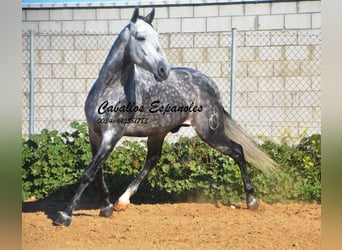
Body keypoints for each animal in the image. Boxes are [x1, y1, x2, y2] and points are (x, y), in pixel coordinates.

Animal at [54, 7, 276, 227]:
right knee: (152, 160)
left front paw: (64, 216)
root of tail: (211, 86)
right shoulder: (95, 133)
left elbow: (88, 173)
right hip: (159, 133)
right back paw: (122, 201)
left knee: (238, 151)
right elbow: (97, 172)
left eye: (158, 37)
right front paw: (106, 207)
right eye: (141, 37)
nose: (163, 70)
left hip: (210, 132)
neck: (110, 89)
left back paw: (252, 201)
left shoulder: (112, 135)